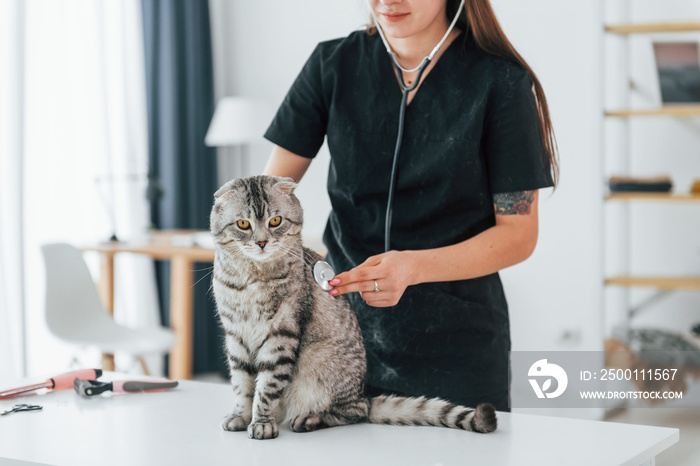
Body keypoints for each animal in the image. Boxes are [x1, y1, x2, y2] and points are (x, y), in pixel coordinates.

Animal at [211, 176, 494, 440]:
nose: (261, 243)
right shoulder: (235, 335)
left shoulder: (281, 335)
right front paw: (241, 416)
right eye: (243, 224)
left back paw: (310, 419)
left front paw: (262, 422)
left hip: (318, 364)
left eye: (276, 221)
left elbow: (267, 387)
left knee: (354, 412)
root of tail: (364, 395)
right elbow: (242, 384)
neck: (251, 277)